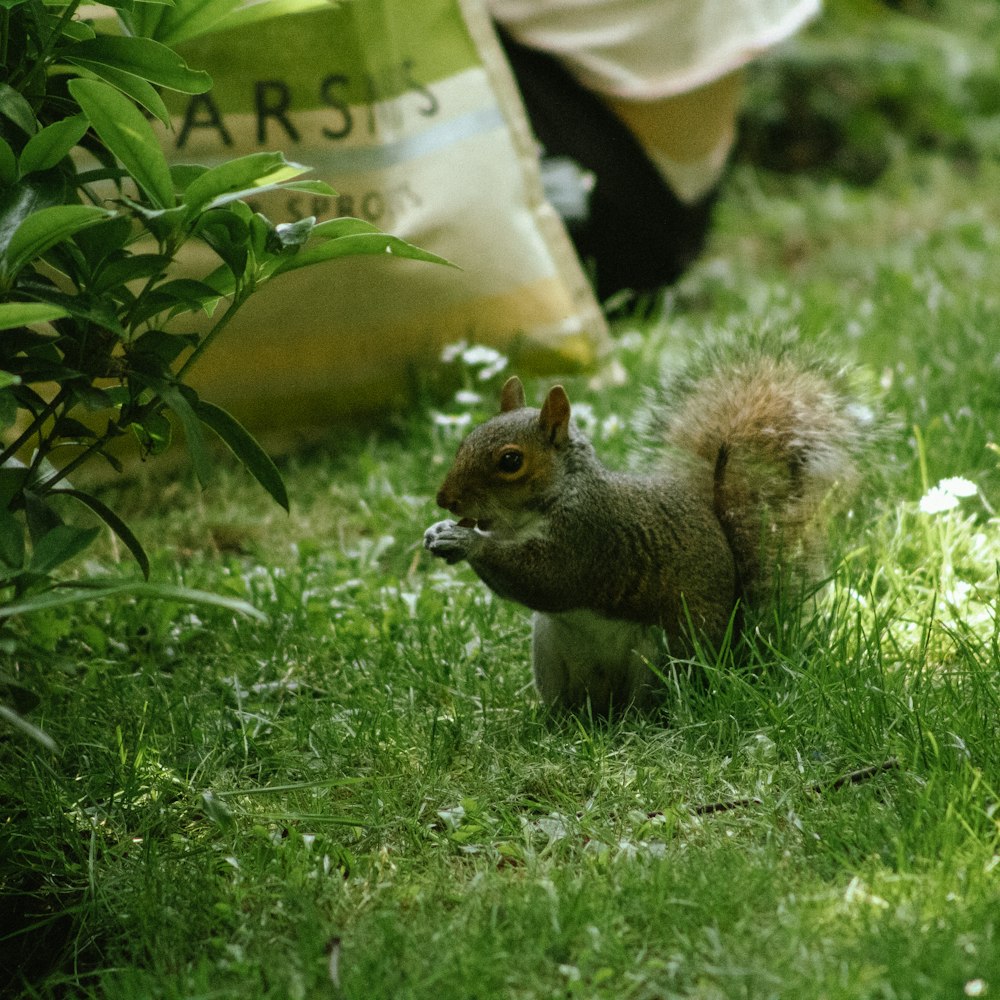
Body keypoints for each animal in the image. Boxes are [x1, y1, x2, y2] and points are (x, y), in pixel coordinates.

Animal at [420, 340, 868, 716]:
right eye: (464, 442)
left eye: (510, 461)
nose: (446, 499)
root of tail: (728, 653)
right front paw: (439, 531)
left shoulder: (588, 538)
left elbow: (546, 578)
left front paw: (466, 540)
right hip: (549, 648)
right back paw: (556, 723)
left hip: (660, 654)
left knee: (649, 703)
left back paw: (636, 722)